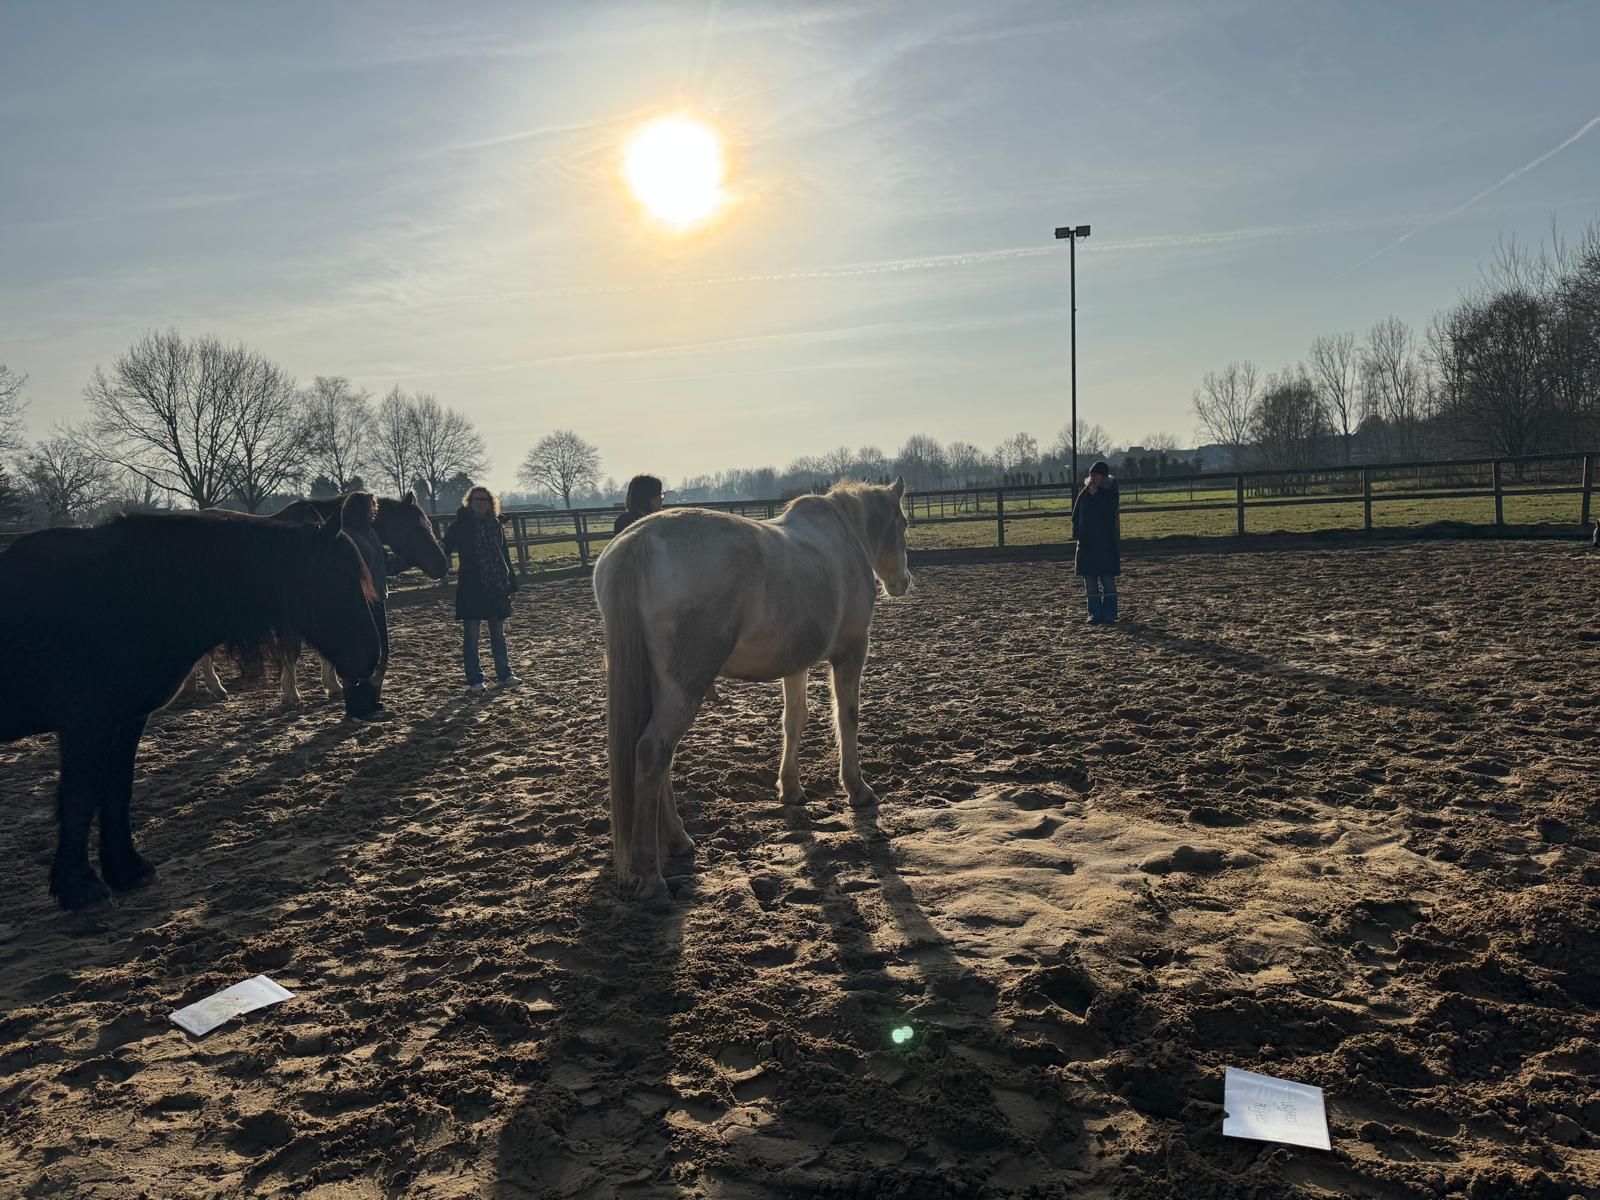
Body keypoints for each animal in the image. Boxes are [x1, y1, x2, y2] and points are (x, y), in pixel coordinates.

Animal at [0, 509, 381, 910]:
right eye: (339, 580)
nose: (370, 657)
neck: (126, 593)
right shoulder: (87, 724)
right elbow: (79, 796)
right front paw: (79, 887)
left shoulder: (126, 720)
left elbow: (117, 788)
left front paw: (127, 870)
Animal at [594, 478, 912, 901]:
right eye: (903, 523)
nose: (903, 582)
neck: (845, 536)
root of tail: (638, 542)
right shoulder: (851, 652)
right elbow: (848, 718)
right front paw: (857, 789)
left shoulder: (795, 662)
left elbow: (795, 720)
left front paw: (790, 788)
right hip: (683, 688)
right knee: (652, 754)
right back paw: (652, 875)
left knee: (657, 760)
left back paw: (678, 840)